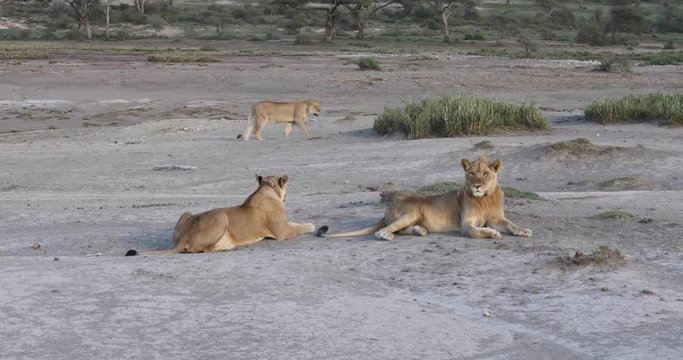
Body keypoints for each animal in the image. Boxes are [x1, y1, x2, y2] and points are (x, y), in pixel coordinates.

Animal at [125, 175, 316, 256]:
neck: (266, 188)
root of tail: (184, 237)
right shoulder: (282, 232)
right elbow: (299, 227)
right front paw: (311, 225)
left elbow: (295, 223)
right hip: (222, 216)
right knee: (196, 249)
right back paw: (226, 247)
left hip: (186, 213)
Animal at [318, 155, 532, 242]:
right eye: (471, 173)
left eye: (485, 174)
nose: (477, 185)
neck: (484, 198)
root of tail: (388, 208)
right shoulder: (466, 225)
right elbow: (478, 231)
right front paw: (492, 233)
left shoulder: (497, 218)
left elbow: (511, 224)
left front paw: (524, 230)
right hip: (411, 212)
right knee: (384, 231)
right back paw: (388, 235)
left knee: (401, 230)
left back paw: (419, 230)